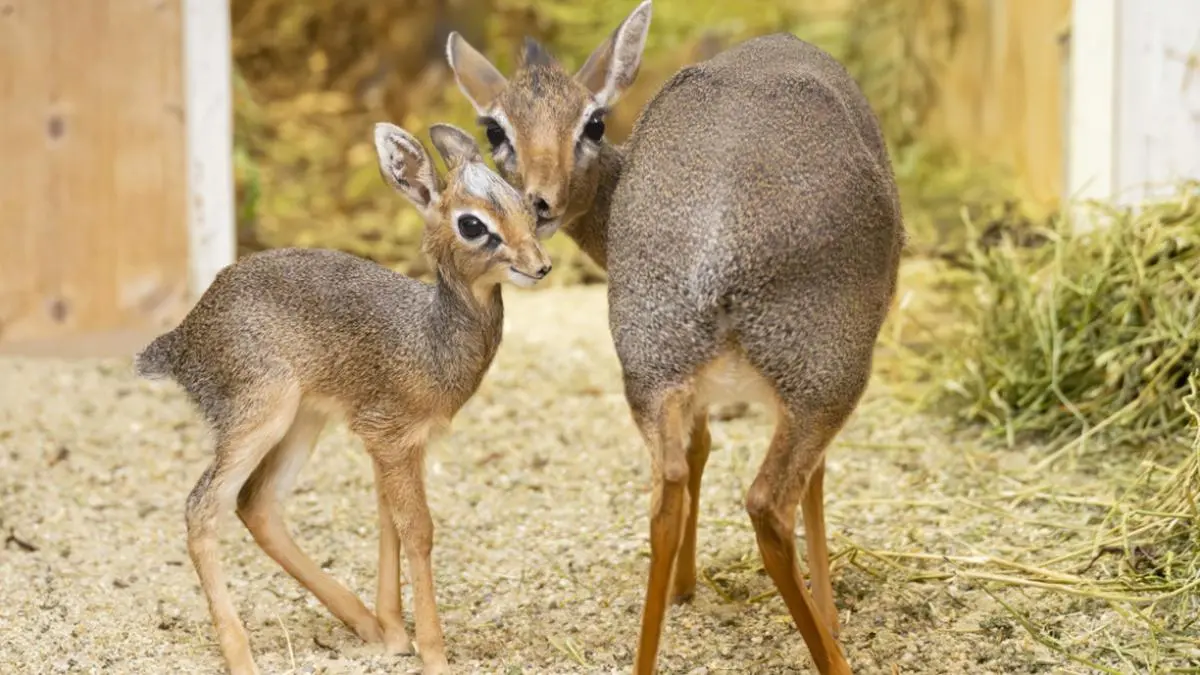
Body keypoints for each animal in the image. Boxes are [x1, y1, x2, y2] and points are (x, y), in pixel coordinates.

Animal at [132, 122, 552, 675]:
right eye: (471, 223)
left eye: (529, 206)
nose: (540, 266)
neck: (430, 336)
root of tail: (180, 338)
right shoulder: (389, 436)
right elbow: (418, 530)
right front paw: (433, 654)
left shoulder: (398, 444)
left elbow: (388, 521)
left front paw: (395, 633)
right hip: (259, 417)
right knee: (203, 507)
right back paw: (241, 655)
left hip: (302, 423)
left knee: (257, 504)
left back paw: (363, 624)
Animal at [445, 2, 905, 673]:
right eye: (495, 130)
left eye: (594, 122)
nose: (539, 202)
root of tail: (717, 239)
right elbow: (807, 481)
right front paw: (832, 615)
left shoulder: (688, 389)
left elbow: (697, 451)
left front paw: (686, 588)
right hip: (828, 377)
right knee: (770, 501)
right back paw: (833, 654)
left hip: (651, 366)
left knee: (665, 493)